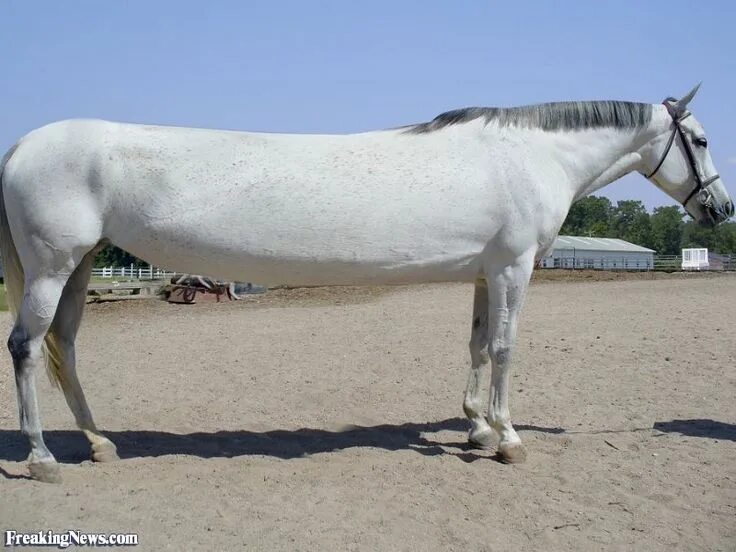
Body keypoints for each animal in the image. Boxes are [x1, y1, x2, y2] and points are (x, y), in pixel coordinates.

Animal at [0, 84, 732, 483]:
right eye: (698, 139)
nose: (720, 209)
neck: (531, 156)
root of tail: (23, 145)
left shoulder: (484, 271)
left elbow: (474, 346)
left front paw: (475, 428)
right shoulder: (513, 267)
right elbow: (503, 350)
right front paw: (508, 439)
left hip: (80, 265)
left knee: (67, 347)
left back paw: (99, 444)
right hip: (52, 266)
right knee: (28, 348)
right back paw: (41, 457)